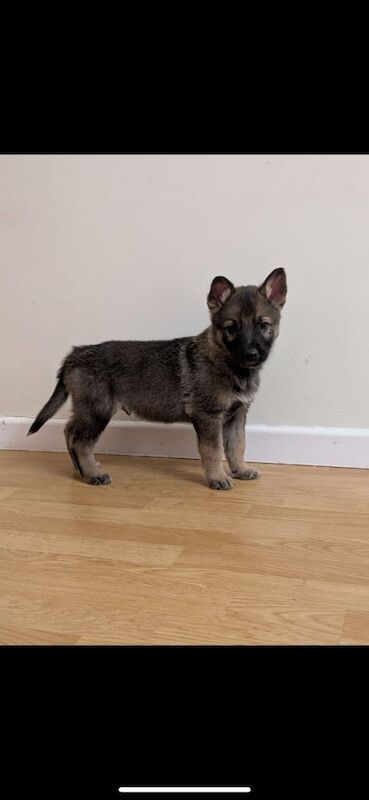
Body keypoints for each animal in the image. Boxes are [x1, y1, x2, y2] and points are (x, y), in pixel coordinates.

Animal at [29, 268, 288, 488]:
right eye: (232, 328)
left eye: (263, 325)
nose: (251, 354)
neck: (225, 360)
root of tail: (75, 354)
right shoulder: (208, 417)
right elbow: (214, 451)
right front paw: (218, 477)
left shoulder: (237, 415)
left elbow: (237, 446)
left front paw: (241, 470)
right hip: (97, 411)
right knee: (81, 442)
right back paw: (93, 474)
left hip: (87, 410)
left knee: (70, 432)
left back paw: (80, 469)